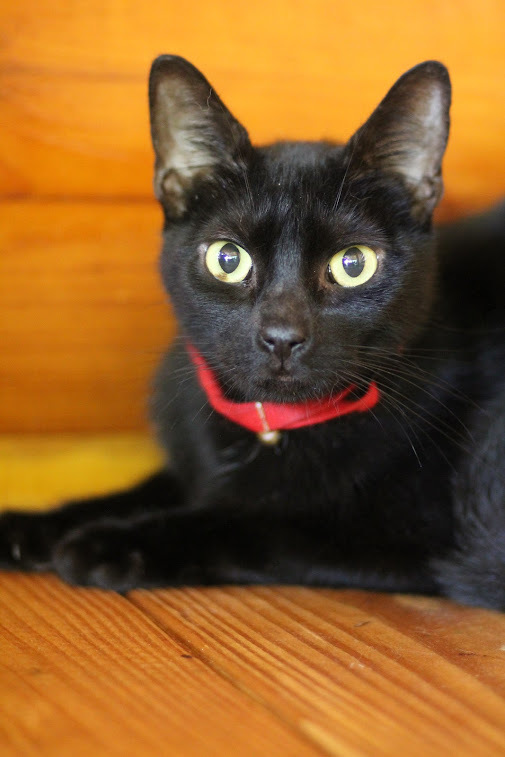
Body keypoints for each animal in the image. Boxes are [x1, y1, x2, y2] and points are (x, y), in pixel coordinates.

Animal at [2, 54, 504, 608]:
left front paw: (113, 542)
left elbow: (255, 522)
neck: (269, 428)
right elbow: (150, 486)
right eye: (228, 258)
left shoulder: (414, 539)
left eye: (354, 263)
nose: (282, 336)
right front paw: (31, 526)